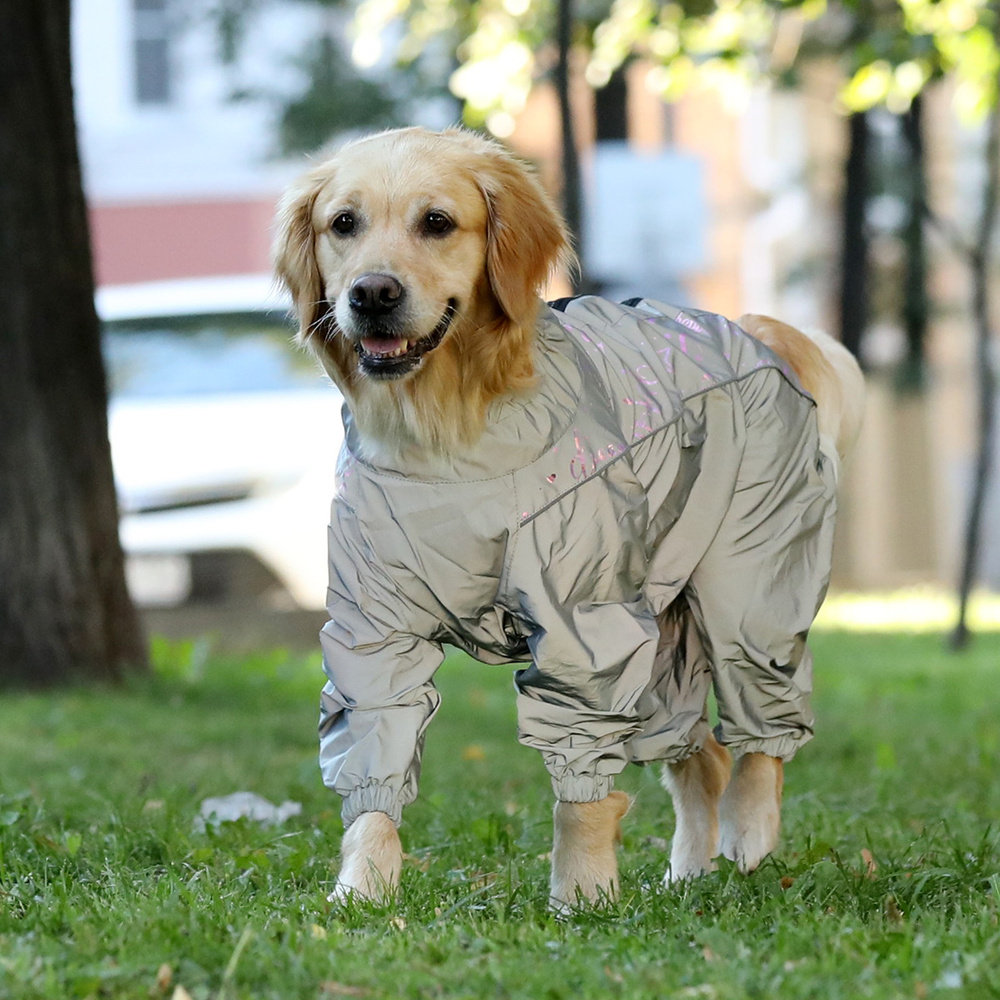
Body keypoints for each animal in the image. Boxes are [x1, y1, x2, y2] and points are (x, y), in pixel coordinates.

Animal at [272, 125, 860, 908]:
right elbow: (374, 758)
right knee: (699, 753)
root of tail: (755, 330)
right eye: (344, 224)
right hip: (662, 633)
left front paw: (581, 895)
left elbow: (580, 785)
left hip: (751, 581)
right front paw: (361, 892)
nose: (372, 293)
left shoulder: (585, 625)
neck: (445, 447)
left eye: (437, 222)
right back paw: (686, 871)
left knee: (760, 721)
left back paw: (749, 831)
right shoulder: (374, 629)